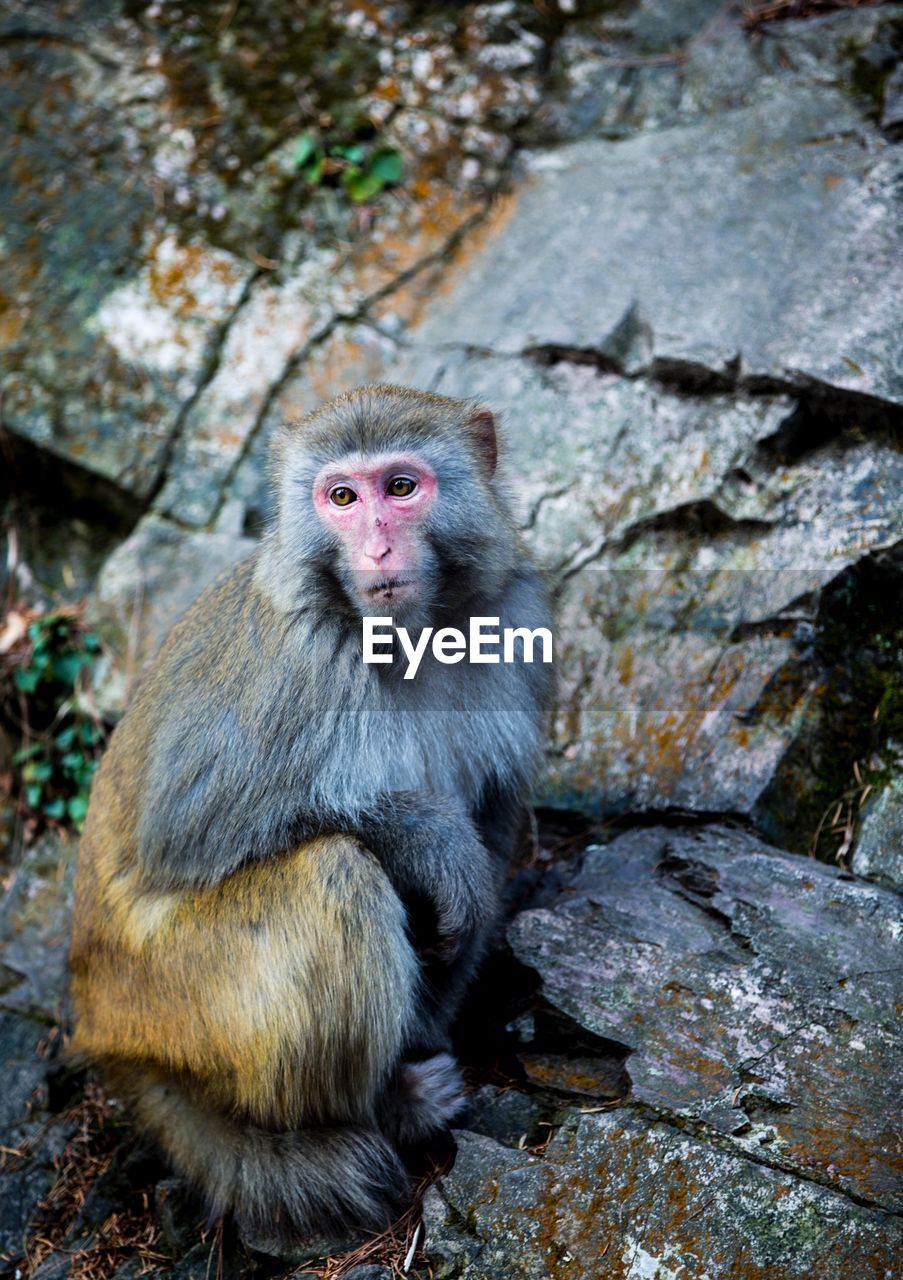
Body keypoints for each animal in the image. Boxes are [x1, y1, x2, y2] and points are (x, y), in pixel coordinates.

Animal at [68, 381, 548, 1249]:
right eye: (342, 499)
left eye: (401, 488)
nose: (379, 549)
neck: (408, 636)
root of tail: (100, 1026)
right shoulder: (294, 666)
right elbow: (184, 828)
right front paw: (429, 837)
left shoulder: (514, 618)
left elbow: (494, 831)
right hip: (173, 1001)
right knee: (331, 875)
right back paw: (382, 1109)